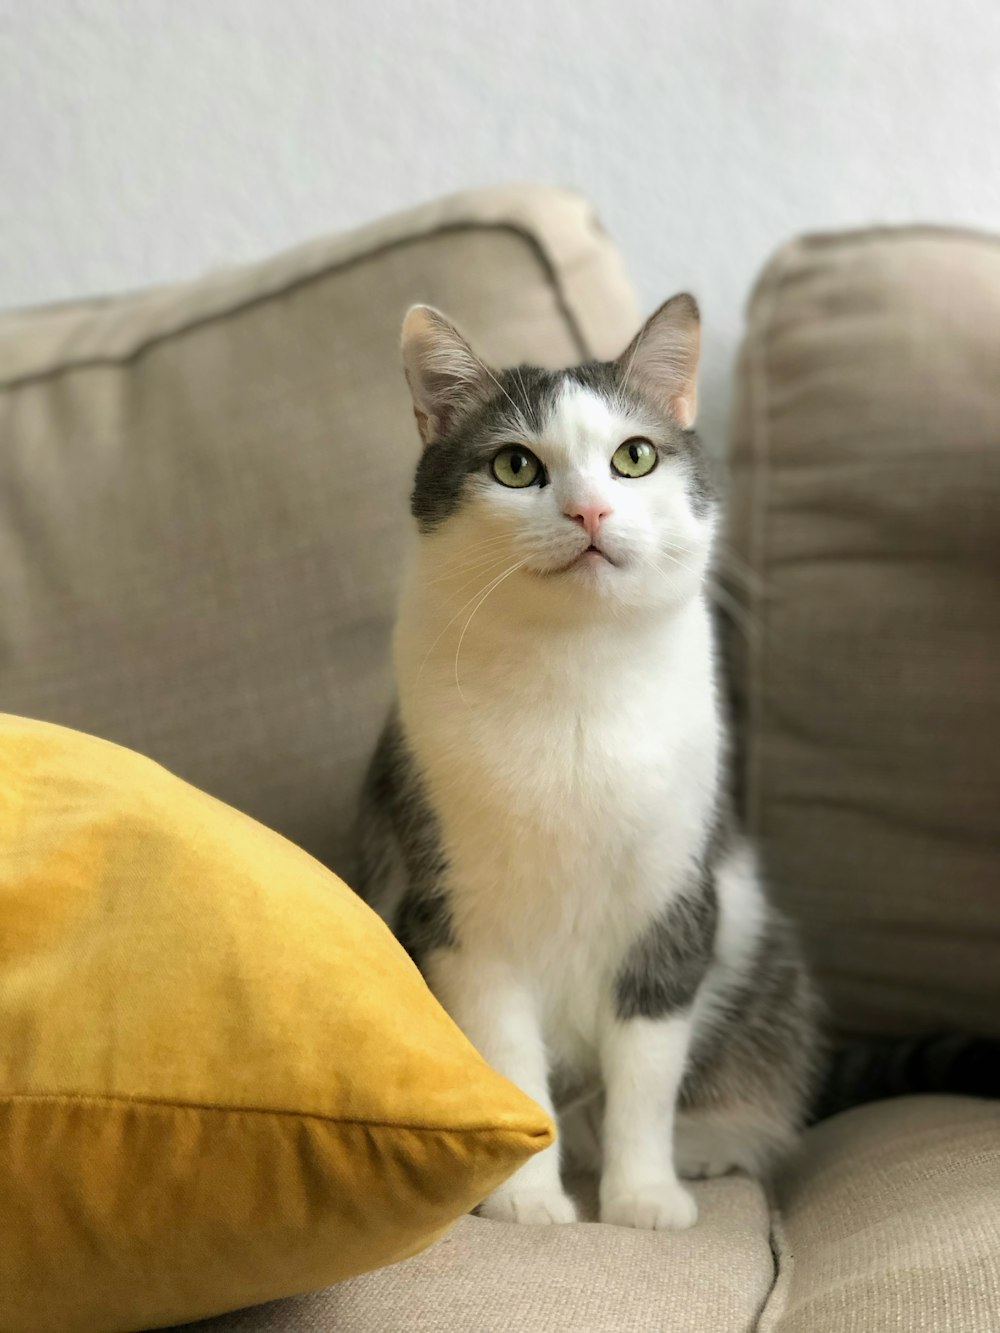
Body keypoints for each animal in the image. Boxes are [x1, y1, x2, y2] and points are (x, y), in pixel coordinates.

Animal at [352, 297, 821, 1231]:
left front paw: (644, 1198)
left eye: (634, 456)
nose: (590, 514)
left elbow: (646, 1076)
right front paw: (527, 1199)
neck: (573, 677)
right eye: (514, 465)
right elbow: (508, 1059)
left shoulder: (672, 905)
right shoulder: (461, 918)